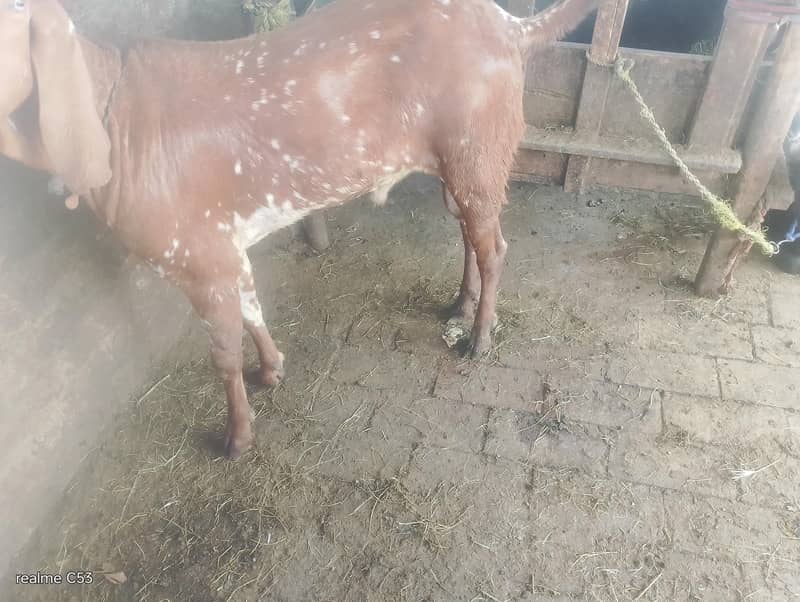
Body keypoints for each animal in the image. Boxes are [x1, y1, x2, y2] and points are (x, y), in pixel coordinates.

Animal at [0, 0, 597, 459]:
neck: (116, 128)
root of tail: (508, 25)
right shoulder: (226, 247)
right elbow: (252, 305)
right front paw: (272, 369)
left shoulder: (197, 257)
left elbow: (223, 353)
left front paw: (237, 437)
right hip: (458, 162)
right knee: (471, 235)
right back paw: (459, 304)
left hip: (479, 148)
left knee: (494, 246)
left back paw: (479, 337)